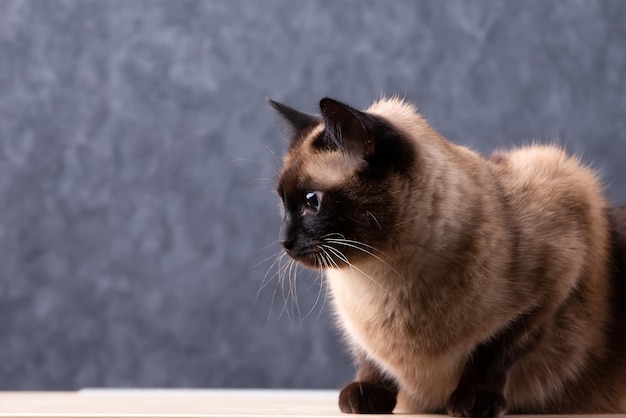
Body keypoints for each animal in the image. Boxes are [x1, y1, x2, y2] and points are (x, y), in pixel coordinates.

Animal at [268, 96, 624, 416]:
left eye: (312, 202)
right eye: (282, 203)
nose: (283, 241)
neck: (379, 274)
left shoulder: (552, 286)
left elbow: (494, 353)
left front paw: (473, 401)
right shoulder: (356, 326)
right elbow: (369, 359)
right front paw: (366, 398)